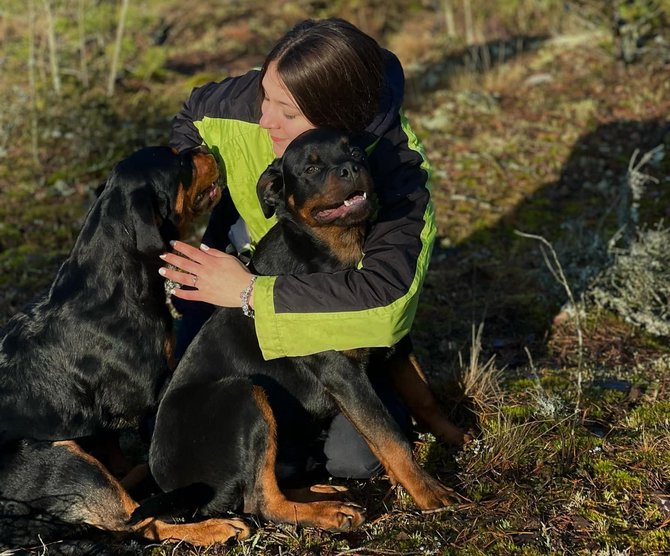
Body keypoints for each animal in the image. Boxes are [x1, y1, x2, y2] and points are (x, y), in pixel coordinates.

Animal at [0, 147, 252, 548]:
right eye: (180, 164)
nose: (203, 148)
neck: (118, 284)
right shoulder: (147, 396)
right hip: (59, 457)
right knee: (136, 520)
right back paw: (218, 527)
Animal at [146, 128, 452, 532]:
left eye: (356, 151)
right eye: (311, 168)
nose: (351, 168)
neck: (337, 252)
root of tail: (169, 486)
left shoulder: (395, 340)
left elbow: (424, 396)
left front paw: (460, 436)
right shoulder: (342, 373)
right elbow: (389, 436)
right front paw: (431, 494)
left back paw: (324, 491)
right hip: (243, 395)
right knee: (261, 501)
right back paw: (330, 513)